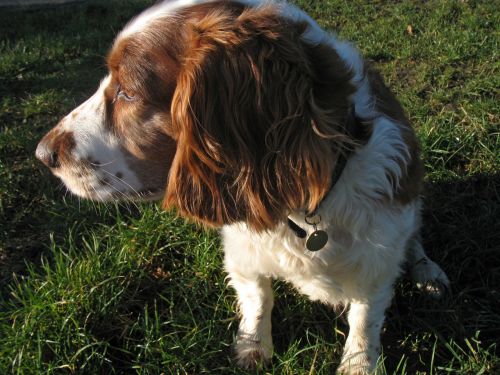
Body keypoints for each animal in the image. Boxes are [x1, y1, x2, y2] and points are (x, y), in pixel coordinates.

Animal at [35, 0, 450, 374]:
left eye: (128, 92)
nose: (42, 154)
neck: (304, 207)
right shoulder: (241, 247)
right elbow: (257, 296)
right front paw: (253, 346)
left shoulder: (378, 257)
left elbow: (364, 320)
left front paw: (358, 365)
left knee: (414, 241)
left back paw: (428, 272)